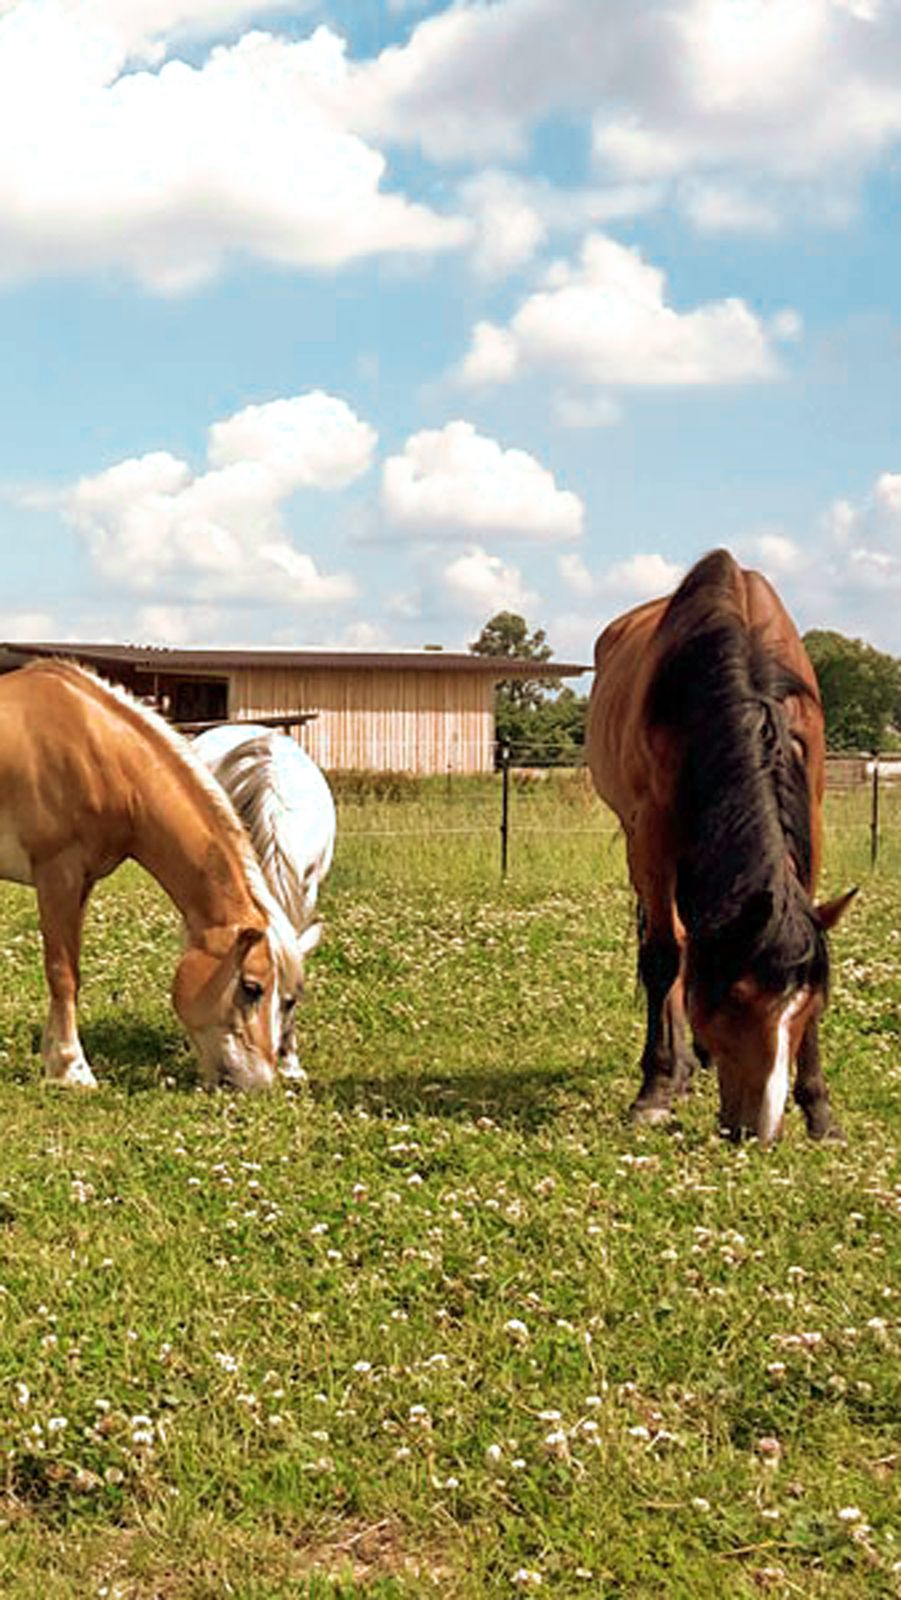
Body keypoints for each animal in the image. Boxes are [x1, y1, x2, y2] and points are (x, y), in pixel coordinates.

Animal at [0, 656, 307, 1094]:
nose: (261, 1083)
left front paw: (54, 1060)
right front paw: (74, 1069)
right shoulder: (57, 875)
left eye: (289, 999)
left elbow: (72, 968)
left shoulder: (81, 884)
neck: (96, 750)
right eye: (252, 988)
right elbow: (62, 973)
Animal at [588, 556, 857, 1145]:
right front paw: (655, 1090)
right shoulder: (652, 833)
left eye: (811, 1003)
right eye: (734, 998)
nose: (760, 1130)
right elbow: (663, 957)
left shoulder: (811, 821)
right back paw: (680, 1068)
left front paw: (820, 1110)